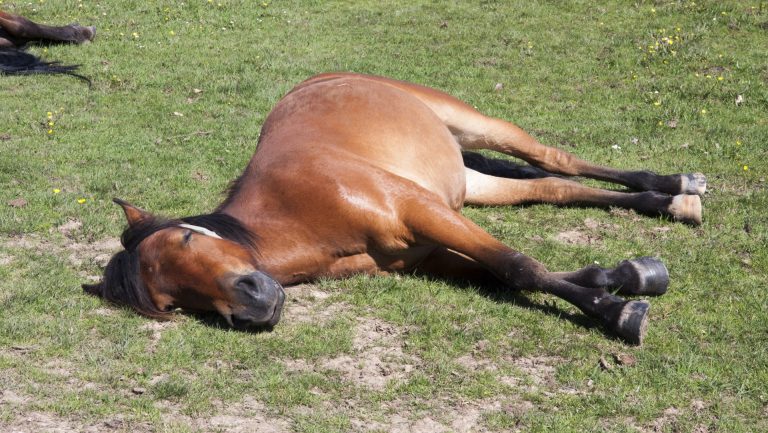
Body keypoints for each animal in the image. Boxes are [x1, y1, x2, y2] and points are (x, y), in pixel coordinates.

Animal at [83, 73, 706, 345]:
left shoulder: (422, 210)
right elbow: (504, 274)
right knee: (552, 185)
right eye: (172, 303)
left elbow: (518, 266)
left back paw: (680, 185)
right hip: (468, 183)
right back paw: (671, 200)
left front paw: (617, 314)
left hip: (472, 127)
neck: (300, 212)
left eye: (187, 239)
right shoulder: (423, 254)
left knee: (555, 159)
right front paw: (625, 277)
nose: (253, 306)